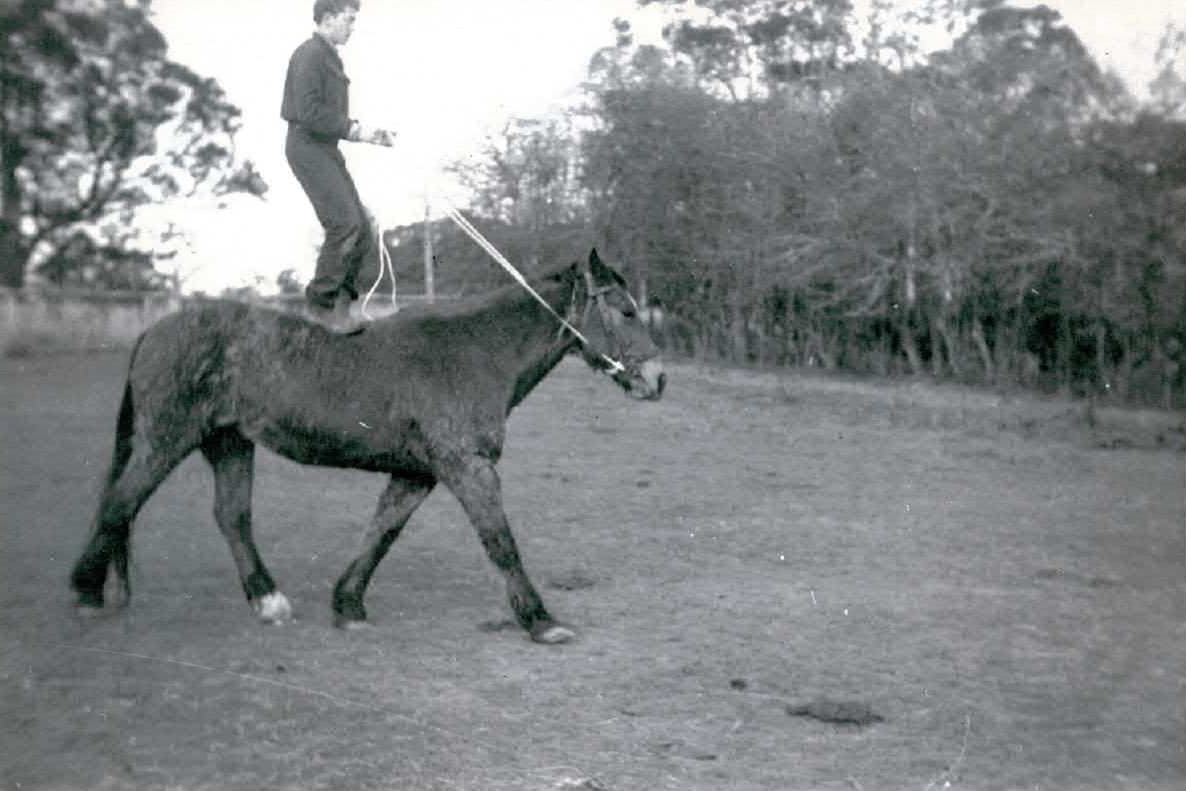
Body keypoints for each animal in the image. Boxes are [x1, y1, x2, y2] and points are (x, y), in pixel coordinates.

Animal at [69, 249, 665, 644]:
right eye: (625, 309)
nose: (657, 380)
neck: (474, 351)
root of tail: (156, 331)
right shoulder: (468, 469)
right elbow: (500, 542)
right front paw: (542, 621)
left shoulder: (419, 474)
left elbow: (381, 533)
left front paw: (348, 603)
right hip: (167, 440)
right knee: (120, 503)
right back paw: (87, 592)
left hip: (229, 443)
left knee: (230, 517)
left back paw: (268, 601)